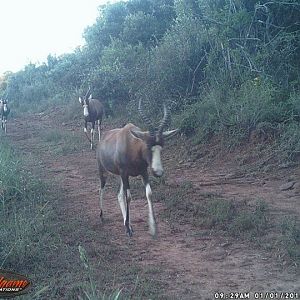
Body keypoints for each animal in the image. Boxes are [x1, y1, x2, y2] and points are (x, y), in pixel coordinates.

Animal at [96, 101, 178, 237]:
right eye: (148, 146)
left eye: (161, 147)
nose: (158, 172)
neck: (131, 143)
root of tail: (102, 139)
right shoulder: (125, 173)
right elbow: (128, 197)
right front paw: (128, 230)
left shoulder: (143, 172)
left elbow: (149, 193)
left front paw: (153, 228)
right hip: (104, 171)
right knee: (101, 188)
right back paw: (102, 217)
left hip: (122, 176)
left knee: (119, 195)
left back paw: (126, 222)